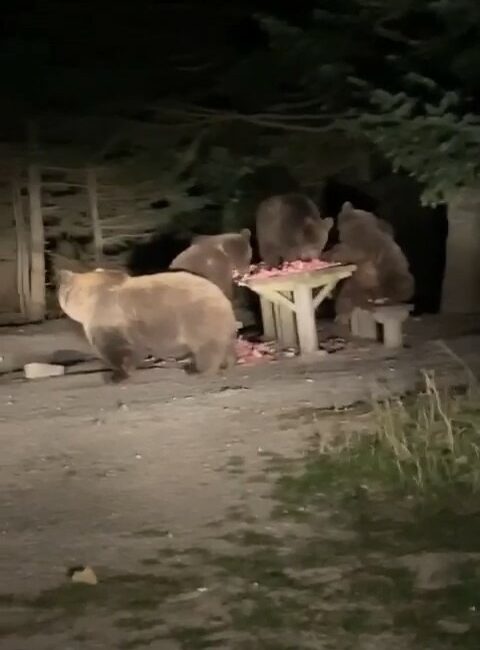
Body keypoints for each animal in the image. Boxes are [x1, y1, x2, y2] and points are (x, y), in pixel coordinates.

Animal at [58, 268, 238, 382]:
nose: (60, 273)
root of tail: (223, 297)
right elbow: (134, 349)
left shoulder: (107, 319)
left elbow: (116, 348)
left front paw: (117, 375)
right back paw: (225, 364)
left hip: (198, 317)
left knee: (207, 347)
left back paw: (199, 370)